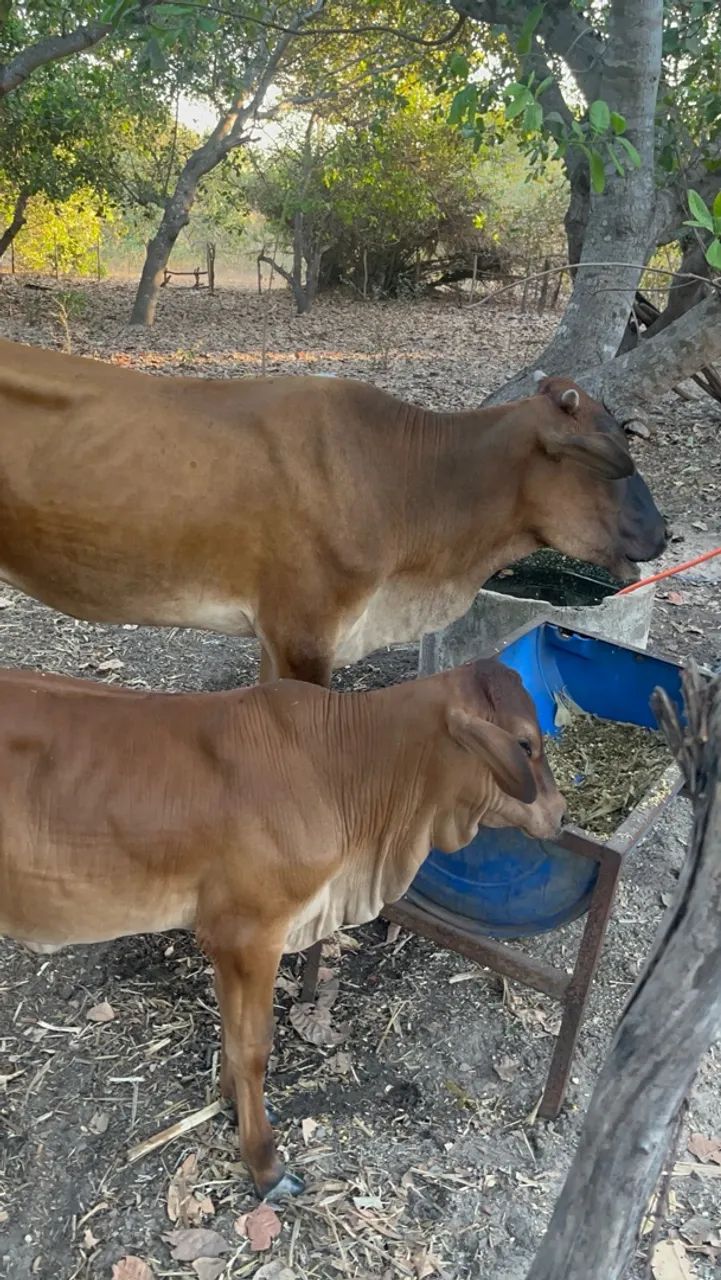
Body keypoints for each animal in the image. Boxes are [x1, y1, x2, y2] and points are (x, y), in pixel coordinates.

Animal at [0, 658, 565, 1199]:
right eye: (525, 743)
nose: (559, 814)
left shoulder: (228, 940)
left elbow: (231, 1034)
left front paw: (232, 1103)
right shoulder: (249, 935)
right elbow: (253, 1047)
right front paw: (265, 1166)